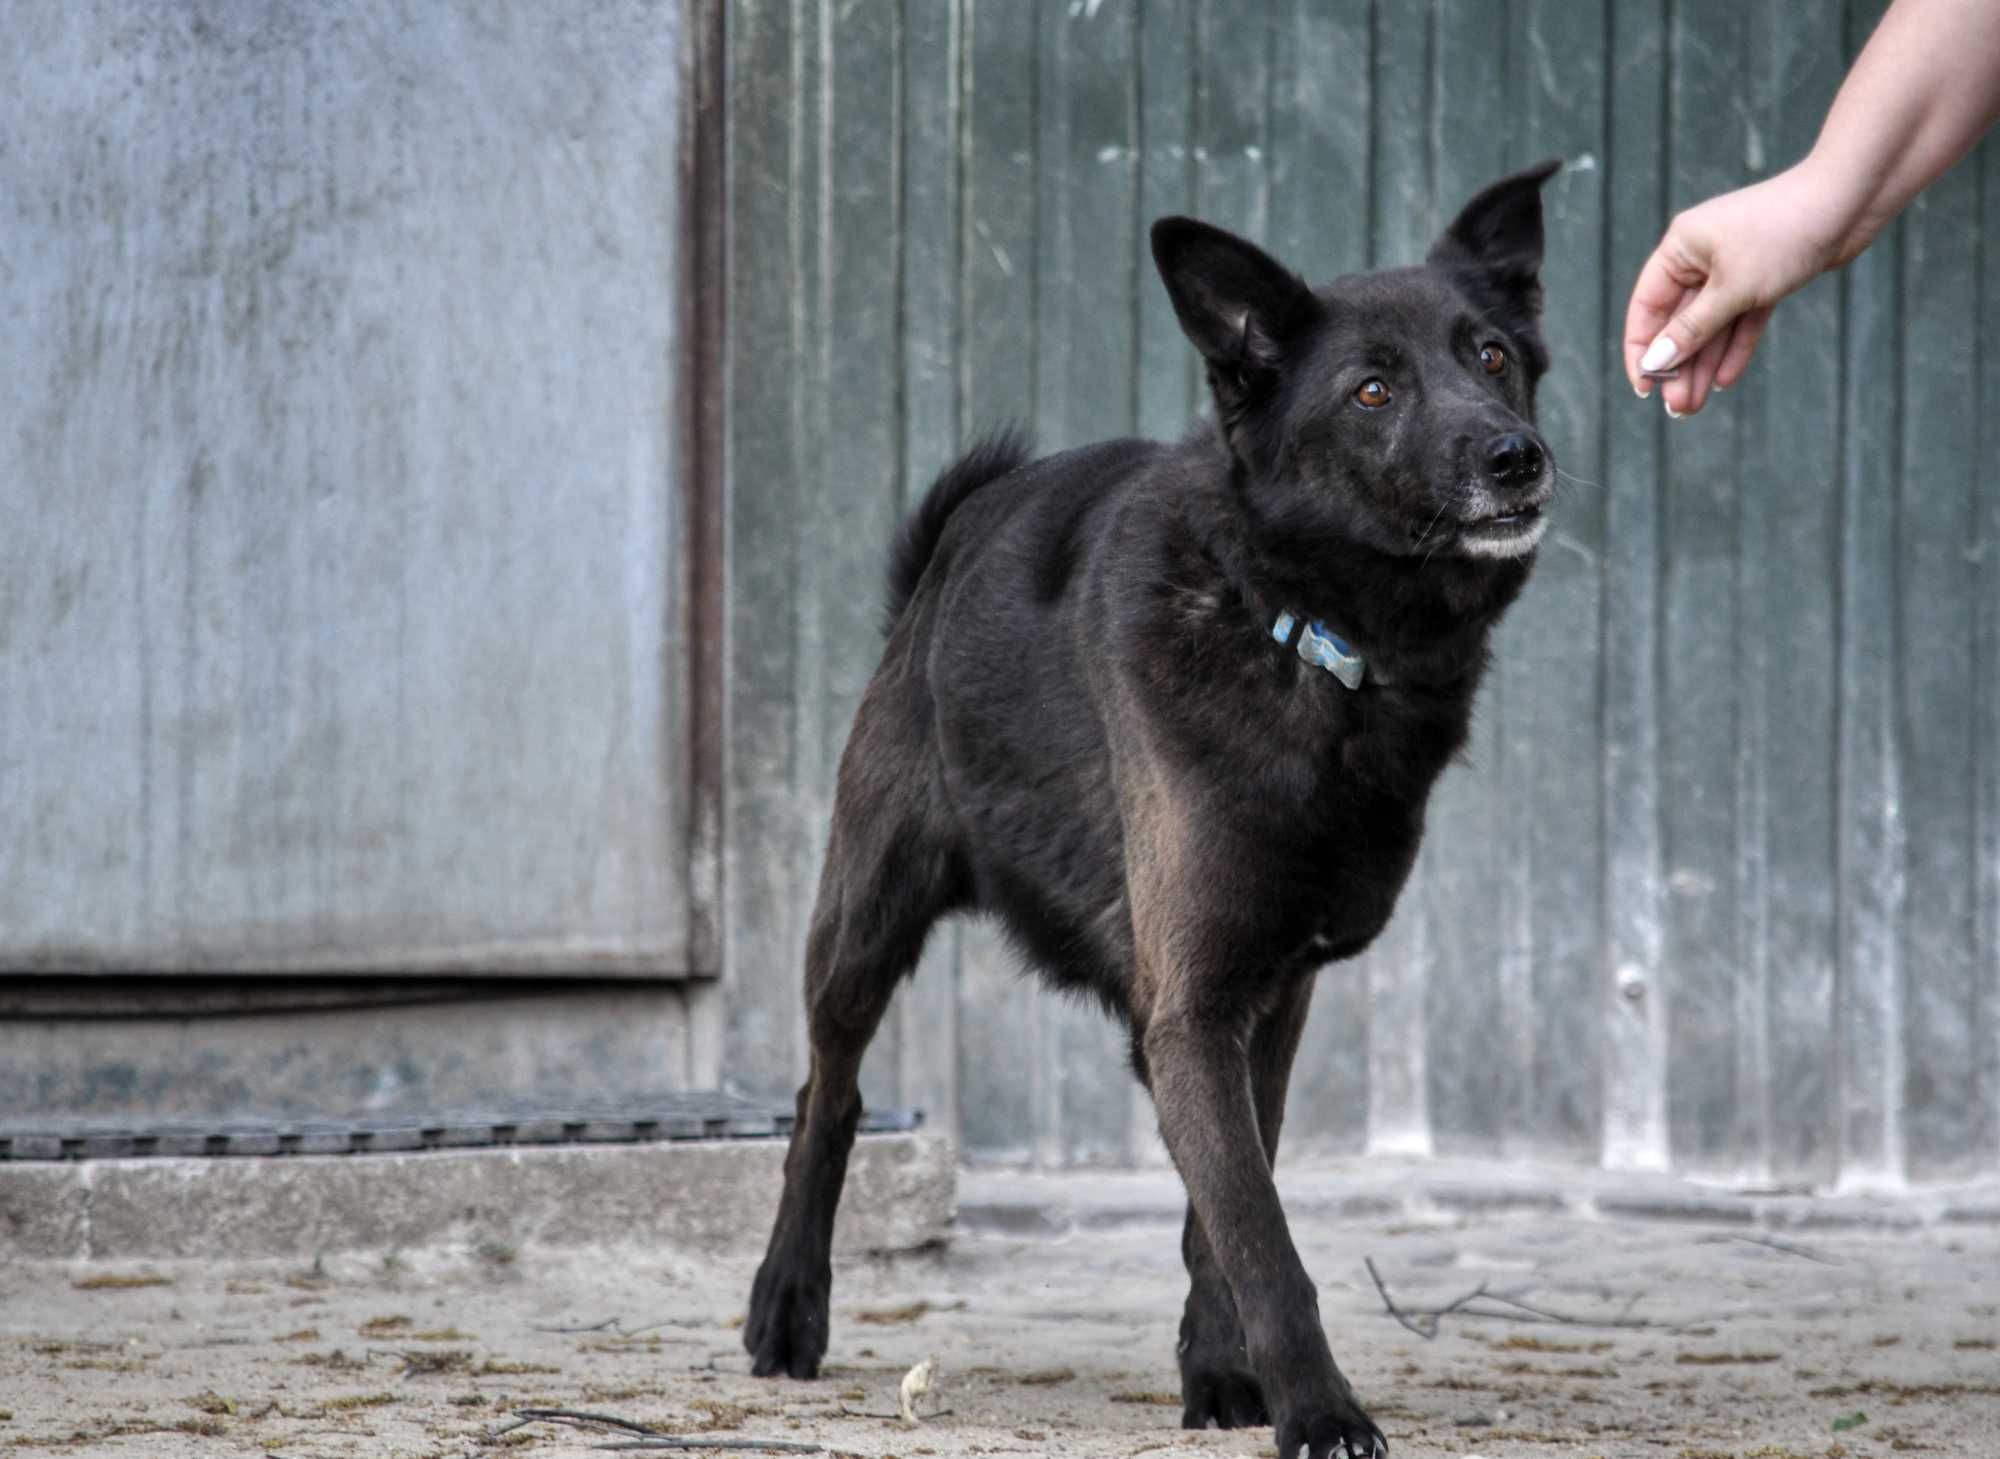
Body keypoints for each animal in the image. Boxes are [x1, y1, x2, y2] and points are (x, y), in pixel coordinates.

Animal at [748, 158, 1560, 1455]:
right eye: (1372, 388)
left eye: (1489, 355)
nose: (1513, 455)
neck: (1307, 633)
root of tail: (944, 549)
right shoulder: (1196, 1007)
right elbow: (1262, 1237)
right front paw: (1318, 1410)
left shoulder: (1251, 1003)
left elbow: (1223, 1210)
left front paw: (1222, 1374)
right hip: (861, 920)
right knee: (824, 1097)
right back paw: (786, 1305)